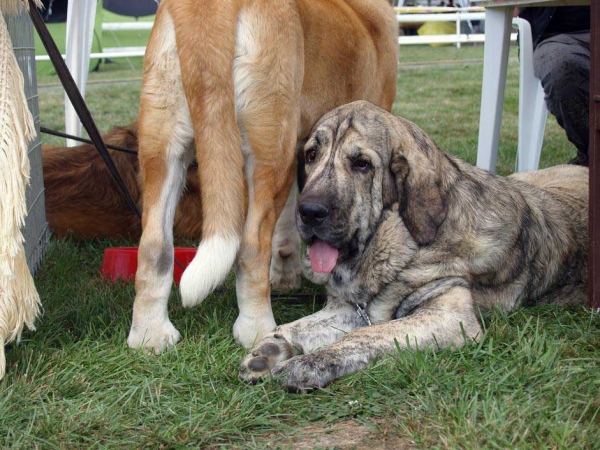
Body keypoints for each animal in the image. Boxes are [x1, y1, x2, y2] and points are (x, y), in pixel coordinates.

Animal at [126, 0, 398, 352]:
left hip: (161, 150)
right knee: (251, 246)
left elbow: (289, 222)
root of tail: (205, 7)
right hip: (269, 153)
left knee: (154, 245)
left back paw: (150, 334)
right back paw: (256, 328)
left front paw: (285, 275)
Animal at [238, 101, 584, 390]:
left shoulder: (451, 316)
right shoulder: (353, 308)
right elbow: (302, 324)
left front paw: (310, 363)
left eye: (362, 164)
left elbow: (365, 334)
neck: (400, 237)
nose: (309, 212)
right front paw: (273, 347)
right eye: (311, 156)